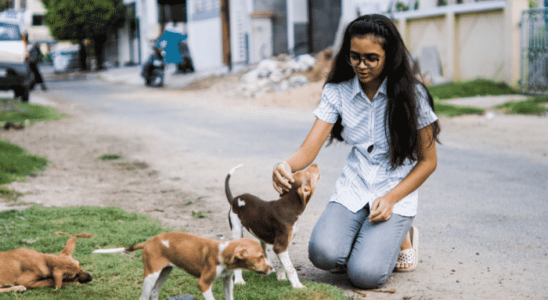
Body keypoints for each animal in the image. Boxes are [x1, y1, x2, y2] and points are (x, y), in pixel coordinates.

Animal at [95, 232, 274, 300]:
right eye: (260, 256)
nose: (272, 269)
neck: (223, 253)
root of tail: (148, 242)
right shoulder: (203, 284)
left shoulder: (227, 281)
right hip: (151, 274)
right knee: (144, 296)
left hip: (165, 272)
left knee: (154, 292)